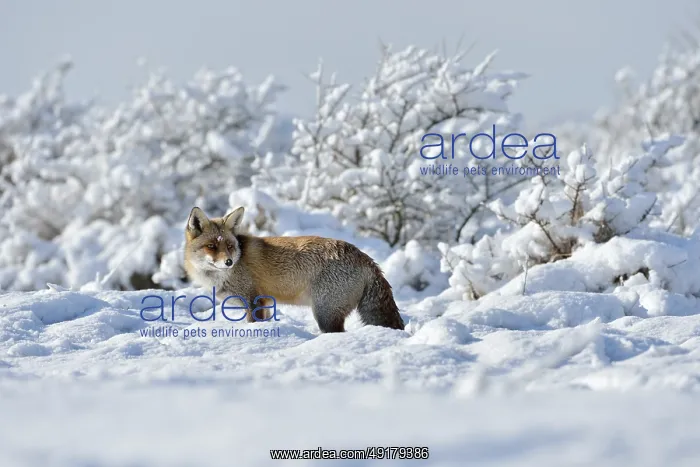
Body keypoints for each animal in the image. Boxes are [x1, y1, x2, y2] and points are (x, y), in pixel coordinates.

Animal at [183, 206, 405, 333]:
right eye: (211, 246)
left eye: (229, 246)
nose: (229, 262)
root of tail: (366, 258)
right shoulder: (265, 303)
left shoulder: (254, 301)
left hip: (325, 314)